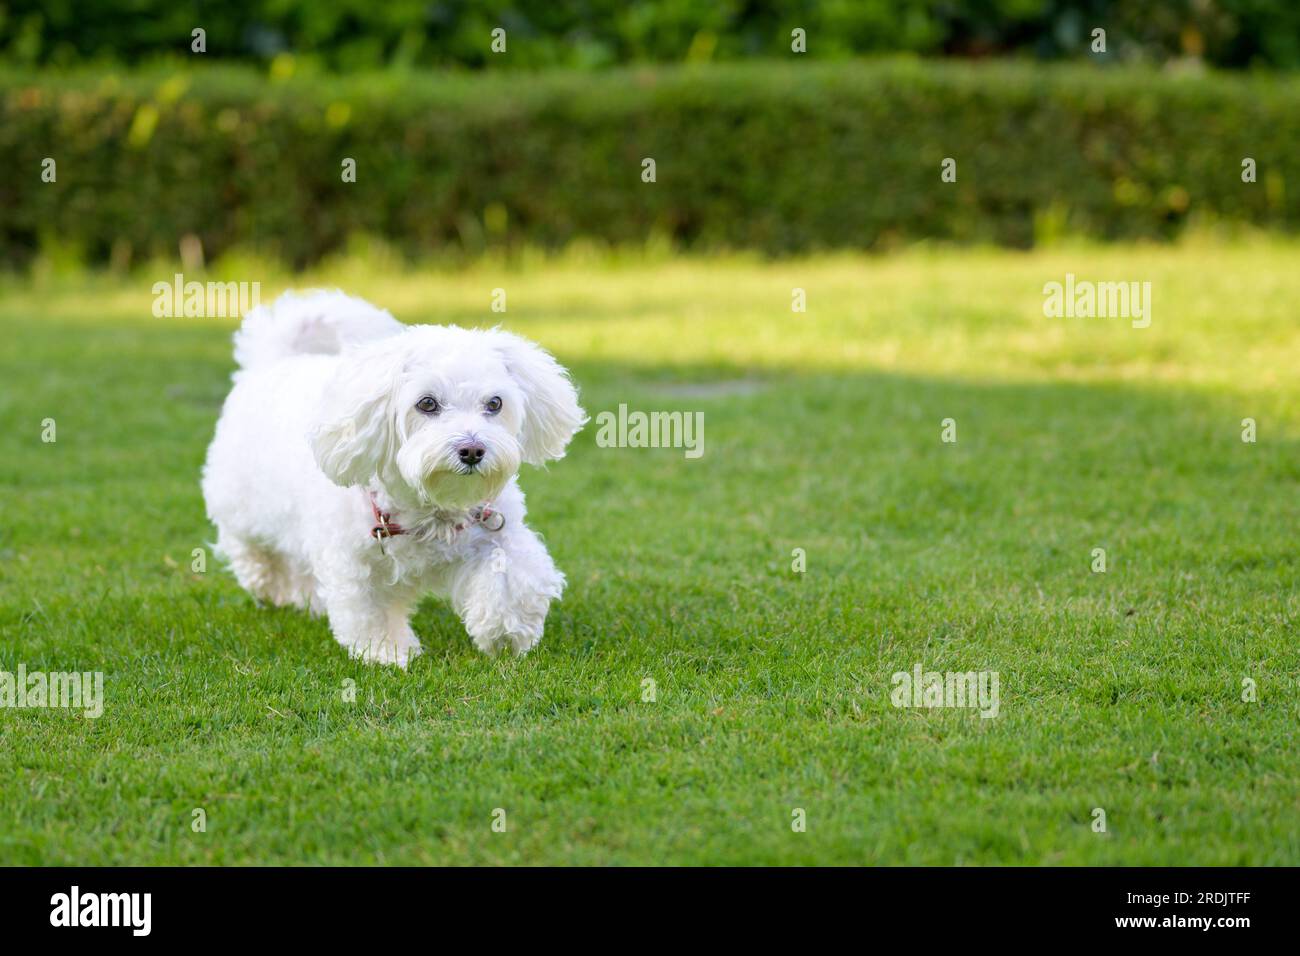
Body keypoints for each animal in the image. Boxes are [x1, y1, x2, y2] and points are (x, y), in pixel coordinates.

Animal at [201, 287, 585, 671]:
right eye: (427, 403)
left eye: (494, 403)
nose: (473, 450)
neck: (430, 508)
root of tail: (275, 360)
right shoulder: (355, 561)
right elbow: (371, 613)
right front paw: (387, 652)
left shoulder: (495, 529)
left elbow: (512, 579)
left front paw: (505, 633)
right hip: (242, 507)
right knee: (255, 552)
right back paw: (274, 586)